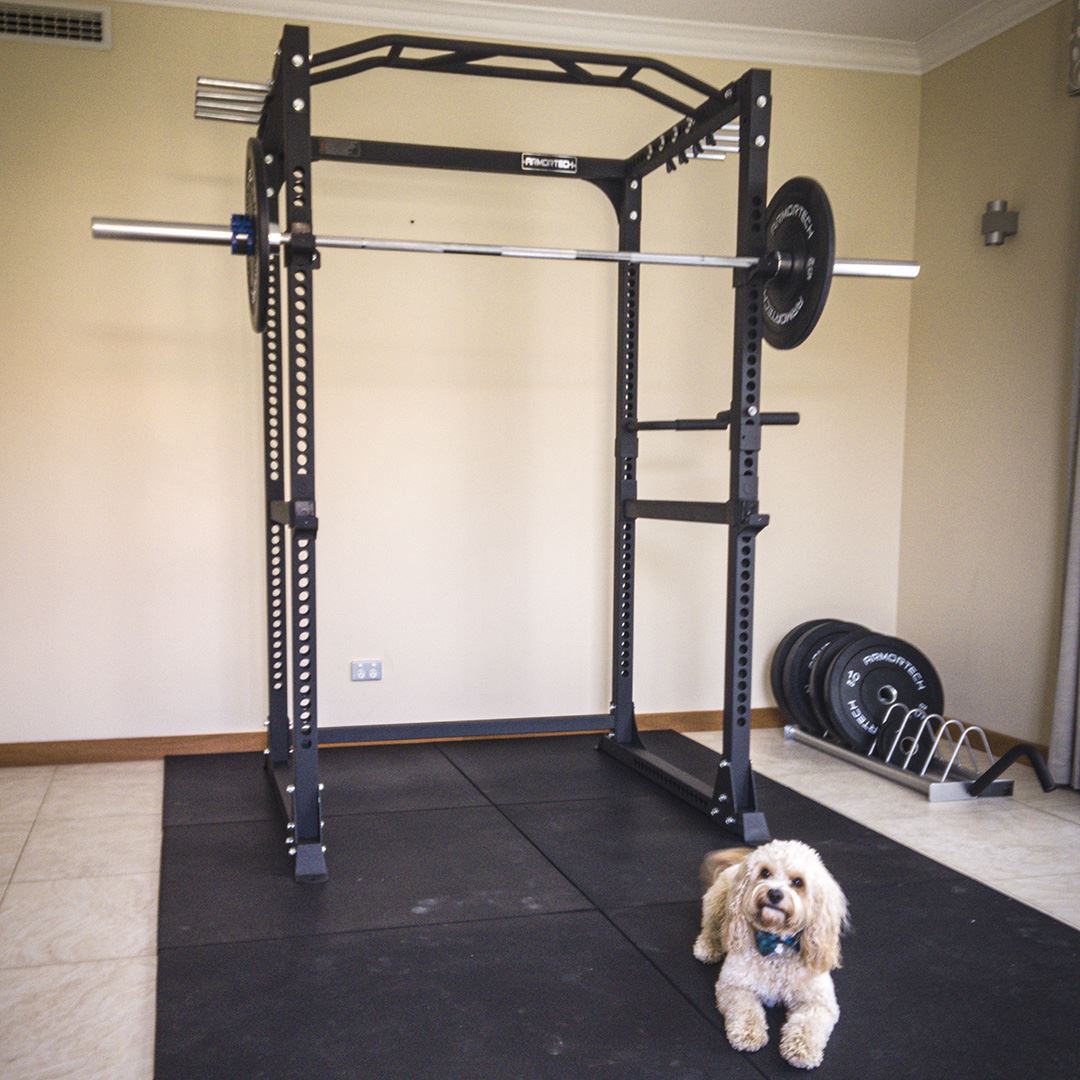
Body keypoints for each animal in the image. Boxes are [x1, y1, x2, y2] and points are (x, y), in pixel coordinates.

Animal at [693, 840, 849, 1070]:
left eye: (797, 882)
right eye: (765, 873)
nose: (774, 894)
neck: (776, 943)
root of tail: (739, 863)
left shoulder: (819, 1001)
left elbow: (809, 1023)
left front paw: (801, 1049)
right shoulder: (735, 985)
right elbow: (746, 1010)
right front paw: (748, 1034)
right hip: (717, 902)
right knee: (712, 927)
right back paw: (708, 946)